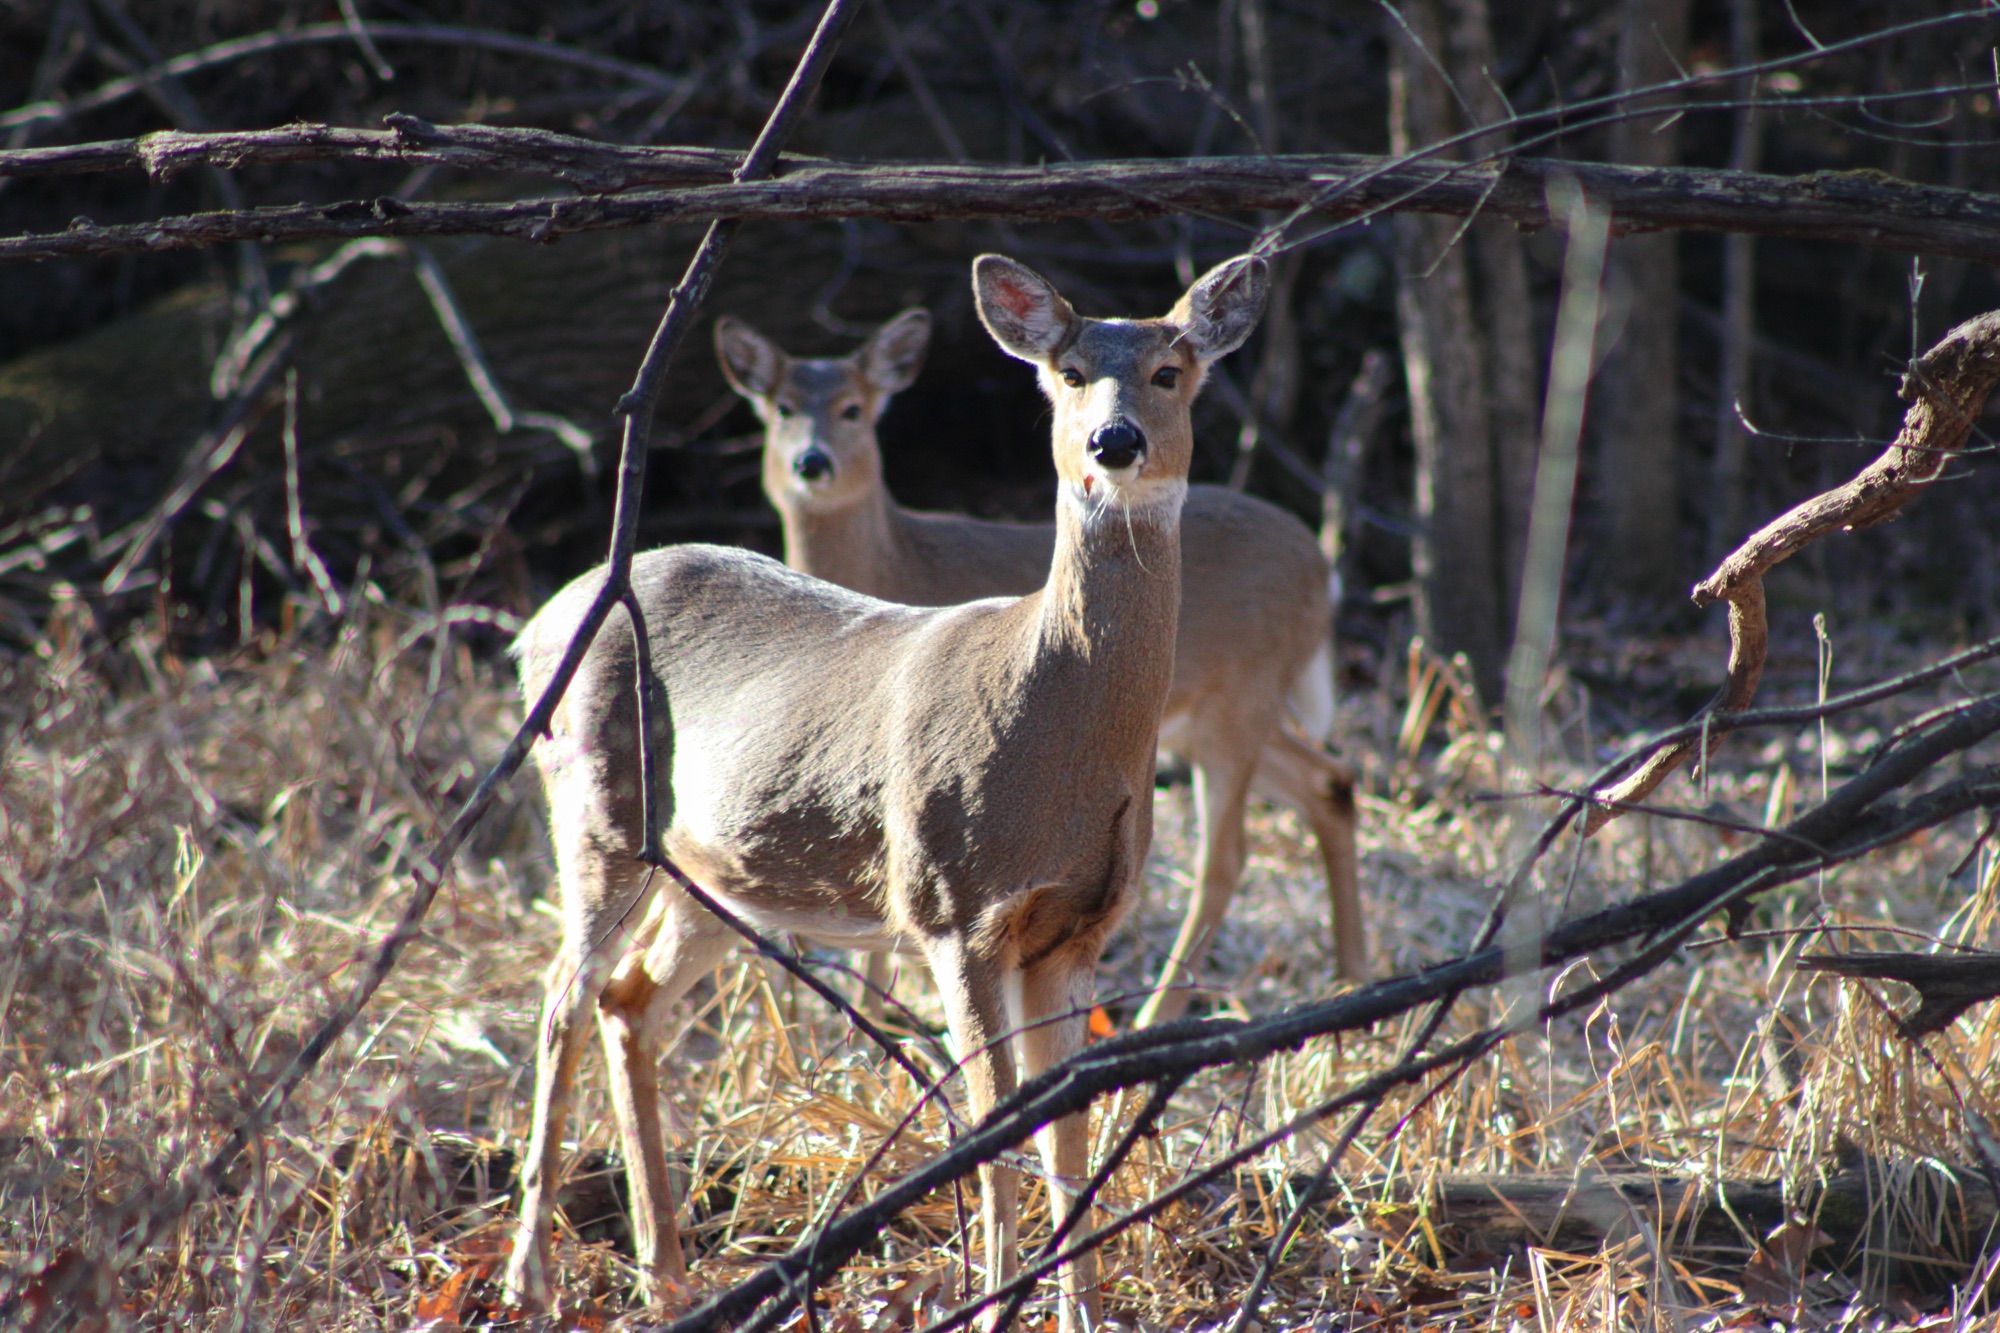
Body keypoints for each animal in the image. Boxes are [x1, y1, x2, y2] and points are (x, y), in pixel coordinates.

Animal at [503, 254, 1271, 1331]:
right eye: (1069, 372)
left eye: (1172, 370)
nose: (1112, 442)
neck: (1056, 719)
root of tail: (538, 625)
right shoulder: (954, 905)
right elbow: (994, 1124)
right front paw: (993, 1305)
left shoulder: (1077, 930)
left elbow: (1066, 1133)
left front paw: (1078, 1308)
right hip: (594, 806)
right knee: (561, 995)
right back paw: (529, 1275)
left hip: (715, 874)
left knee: (629, 999)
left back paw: (668, 1271)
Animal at [713, 304, 1363, 1029]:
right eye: (782, 408)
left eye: (854, 409)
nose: (811, 461)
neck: (888, 563)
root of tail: (1323, 568)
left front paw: (872, 1015)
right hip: (1217, 712)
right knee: (1330, 781)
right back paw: (1353, 979)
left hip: (1240, 700)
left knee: (1227, 854)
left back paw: (1158, 1014)